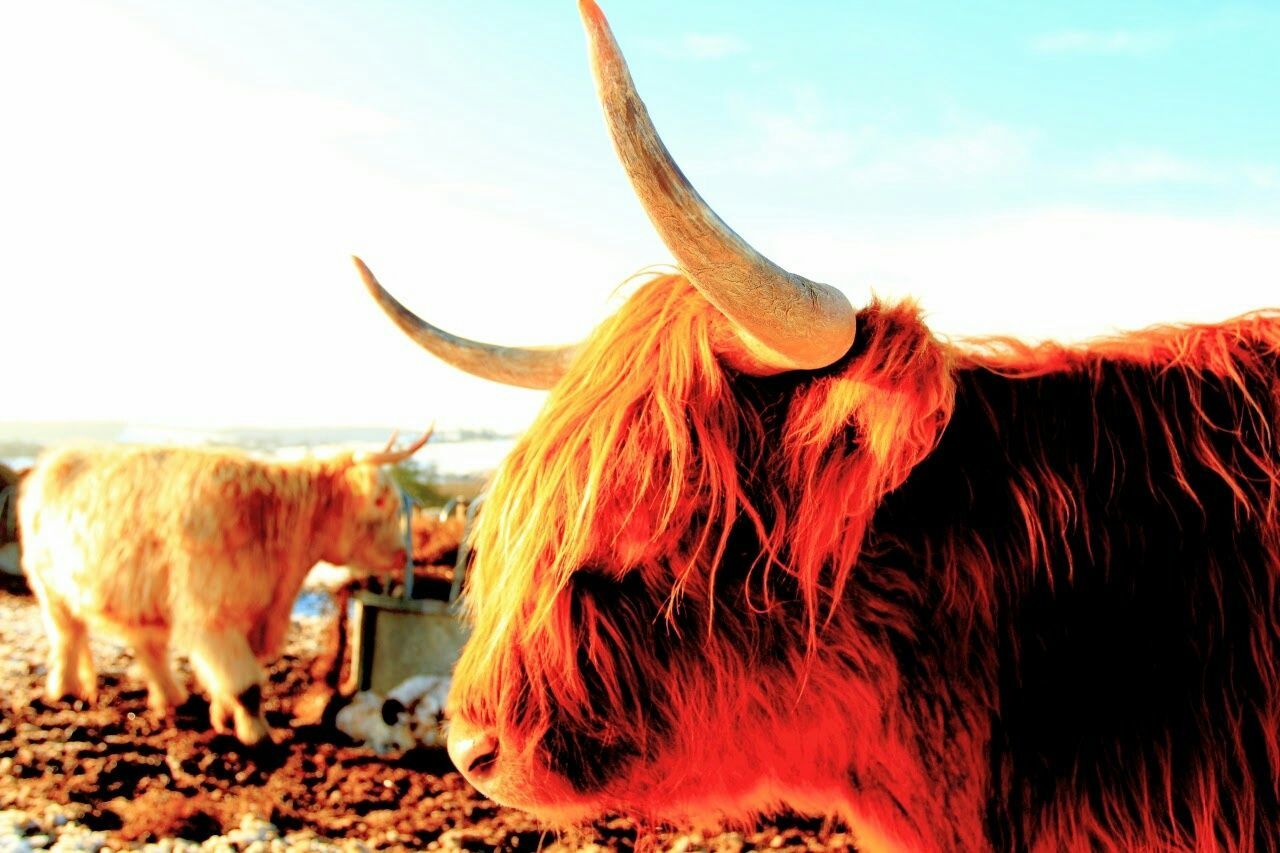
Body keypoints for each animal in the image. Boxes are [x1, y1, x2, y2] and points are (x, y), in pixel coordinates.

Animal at [17, 435, 430, 742]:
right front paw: (258, 736)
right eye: (381, 501)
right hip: (50, 589)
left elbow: (226, 680)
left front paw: (223, 718)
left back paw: (172, 699)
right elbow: (245, 684)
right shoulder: (214, 615)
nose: (401, 554)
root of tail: (55, 459)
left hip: (139, 598)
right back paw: (65, 691)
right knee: (68, 637)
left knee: (147, 647)